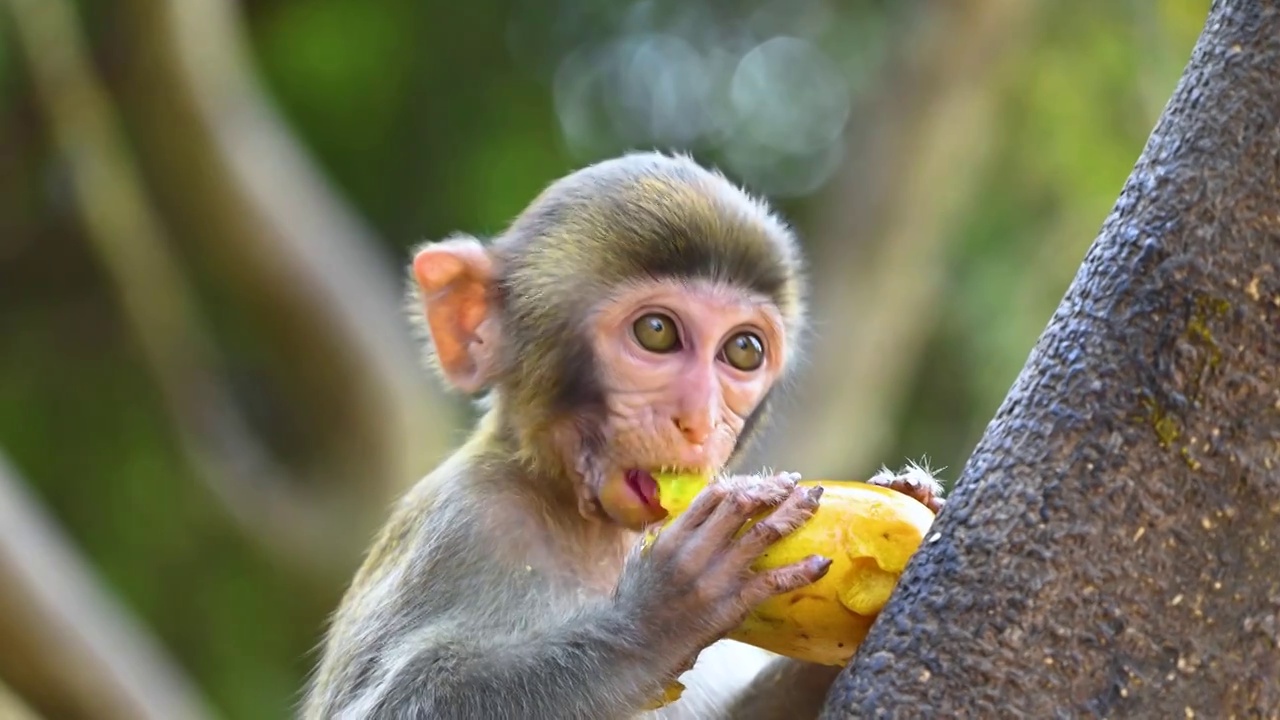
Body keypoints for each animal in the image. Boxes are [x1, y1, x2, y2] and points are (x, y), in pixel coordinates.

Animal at [299, 151, 942, 717]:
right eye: (656, 332)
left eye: (743, 349)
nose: (700, 420)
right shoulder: (461, 526)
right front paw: (660, 616)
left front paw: (913, 491)